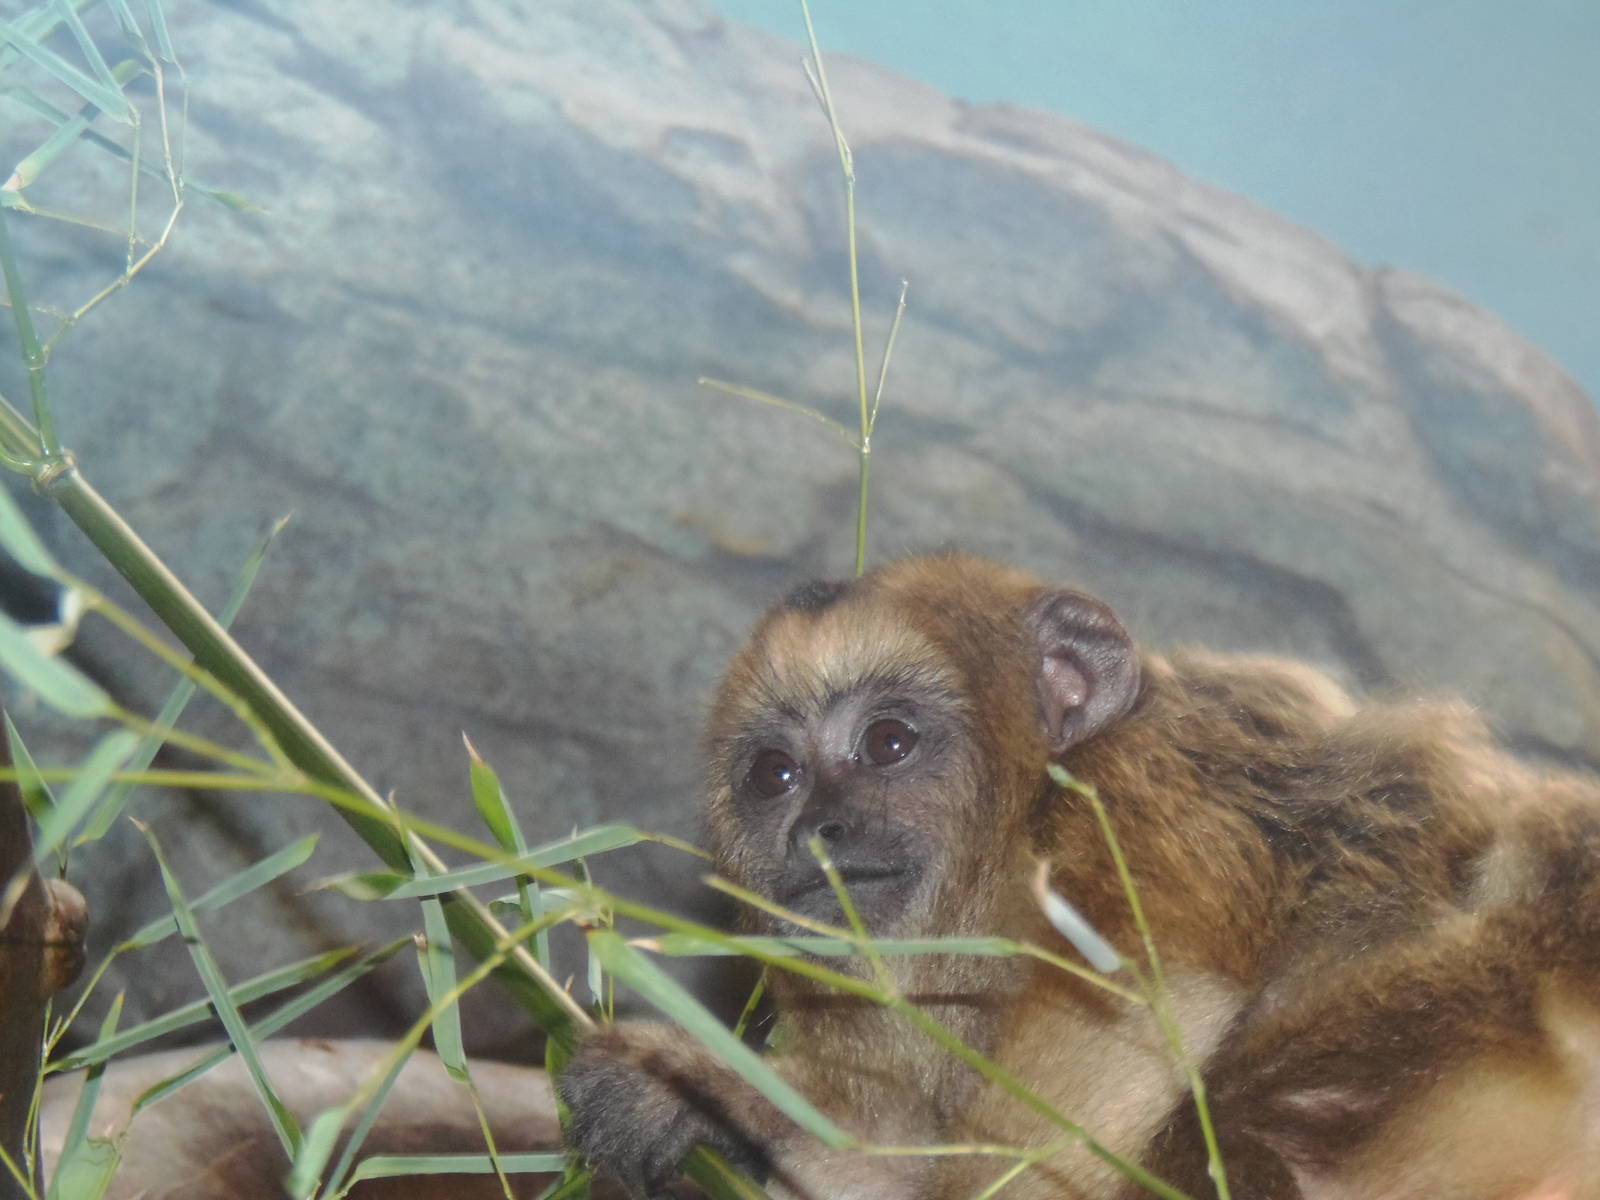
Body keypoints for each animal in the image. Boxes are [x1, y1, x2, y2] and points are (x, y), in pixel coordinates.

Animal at [557, 553, 1600, 1200]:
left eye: (889, 743)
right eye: (773, 775)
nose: (816, 830)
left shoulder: (1129, 816)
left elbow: (1125, 1050)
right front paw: (714, 1099)